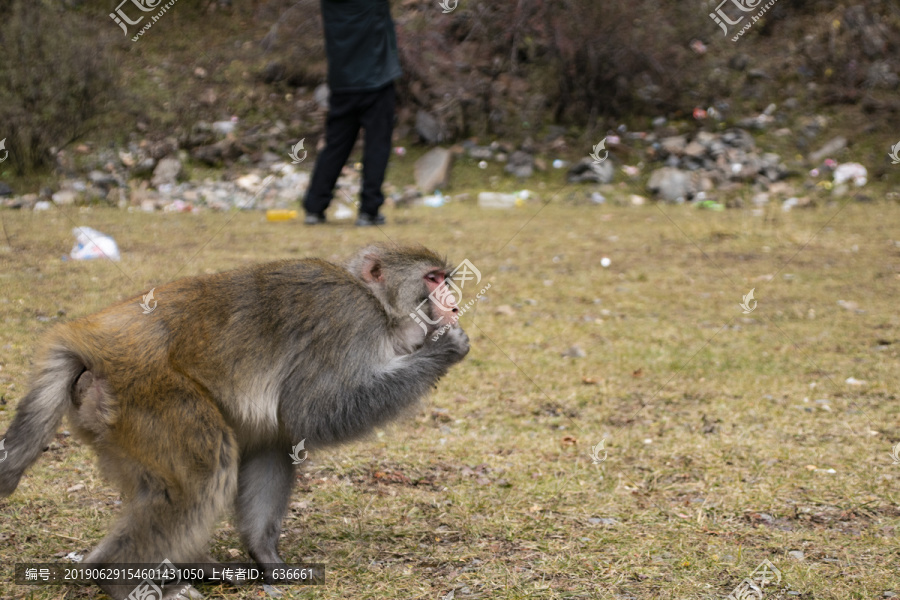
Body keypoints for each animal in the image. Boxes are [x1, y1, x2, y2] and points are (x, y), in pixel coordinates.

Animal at [0, 245, 468, 600]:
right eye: (432, 279)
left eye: (445, 277)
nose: (453, 302)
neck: (379, 305)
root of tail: (93, 340)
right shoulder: (348, 322)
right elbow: (313, 410)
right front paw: (443, 348)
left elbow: (276, 443)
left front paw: (265, 556)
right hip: (147, 394)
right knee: (204, 472)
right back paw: (122, 579)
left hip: (110, 418)